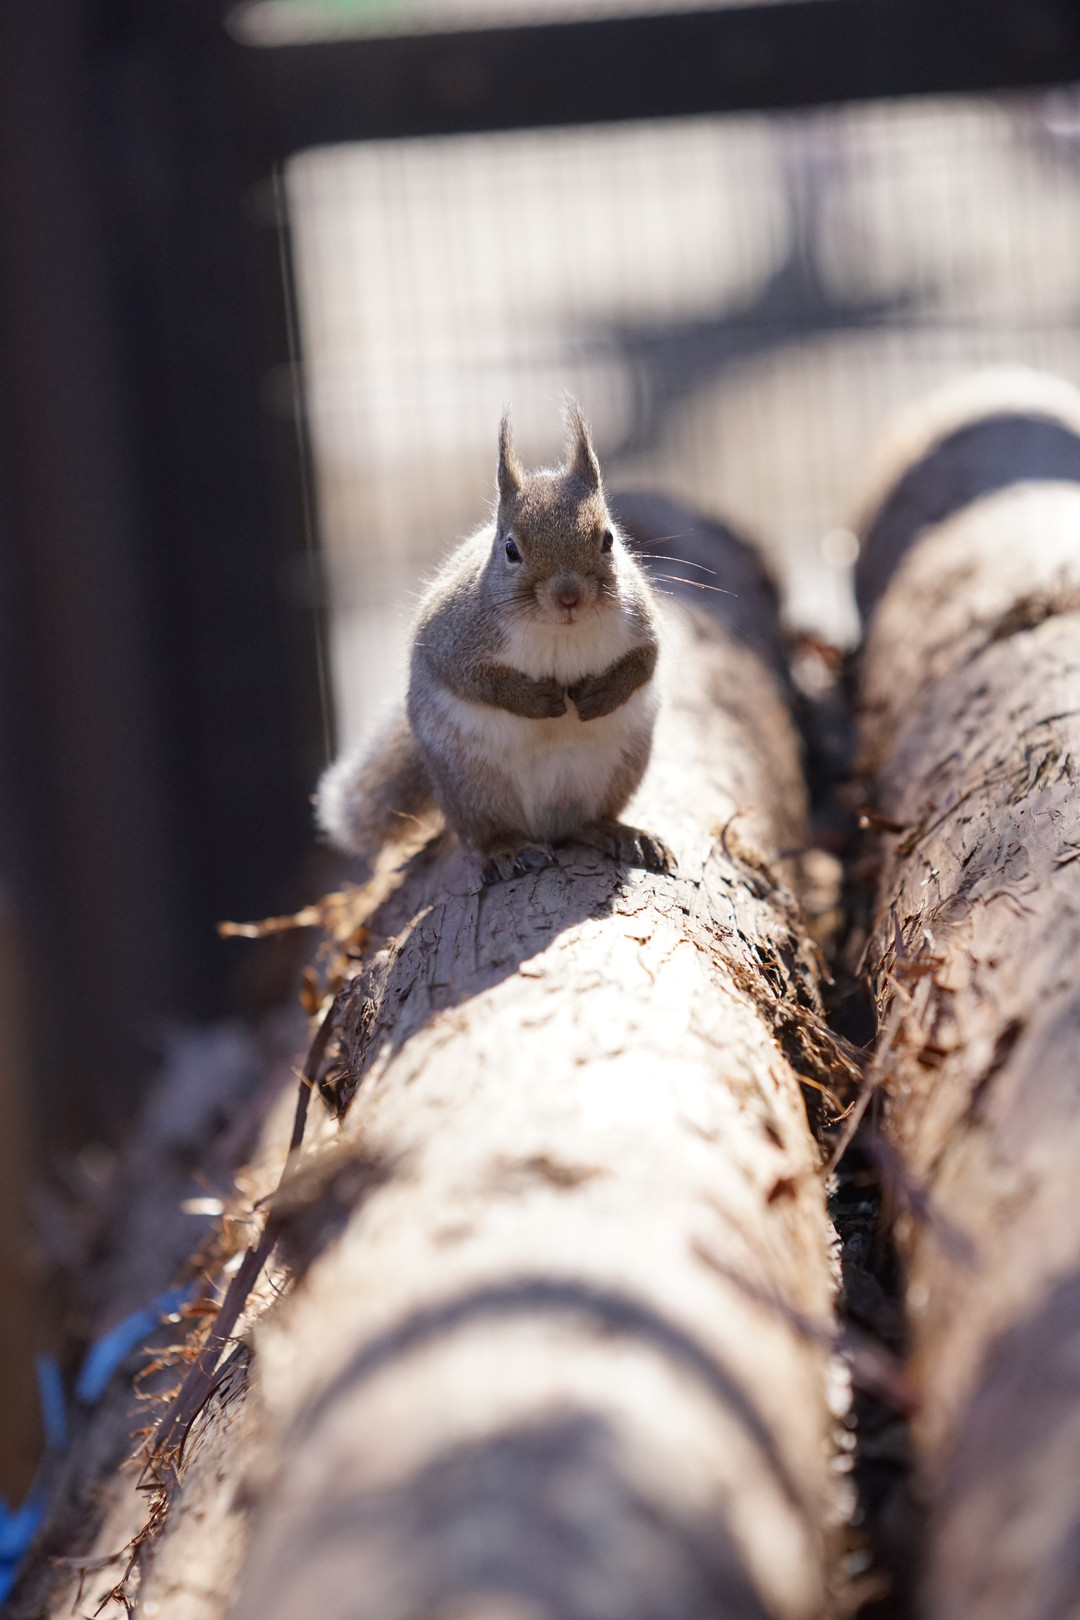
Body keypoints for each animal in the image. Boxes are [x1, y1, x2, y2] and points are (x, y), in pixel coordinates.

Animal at [316, 402, 671, 880]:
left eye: (609, 539)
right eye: (510, 549)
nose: (568, 596)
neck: (559, 632)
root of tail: (548, 822)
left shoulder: (640, 619)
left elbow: (645, 661)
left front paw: (600, 696)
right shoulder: (449, 637)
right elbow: (469, 678)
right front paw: (537, 701)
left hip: (620, 767)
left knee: (589, 822)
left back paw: (621, 833)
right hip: (472, 786)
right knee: (483, 834)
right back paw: (509, 849)